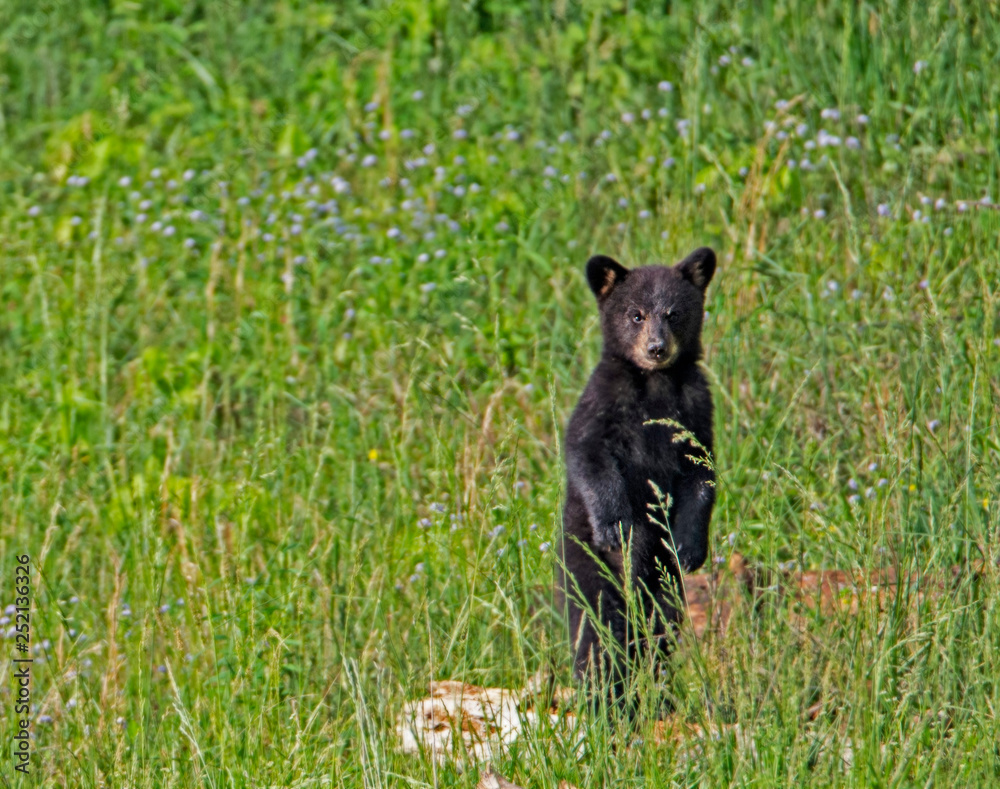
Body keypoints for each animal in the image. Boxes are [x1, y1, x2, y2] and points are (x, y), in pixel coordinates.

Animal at [559, 247, 717, 710]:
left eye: (673, 312)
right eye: (635, 314)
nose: (656, 348)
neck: (654, 384)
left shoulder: (695, 409)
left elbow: (701, 473)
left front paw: (689, 546)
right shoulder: (603, 401)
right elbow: (588, 454)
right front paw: (616, 525)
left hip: (665, 589)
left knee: (659, 626)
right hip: (584, 565)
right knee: (597, 628)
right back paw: (603, 697)